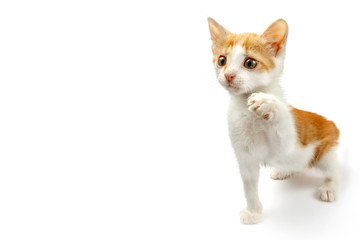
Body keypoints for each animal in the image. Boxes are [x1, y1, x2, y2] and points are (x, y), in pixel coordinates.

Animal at [208, 17, 340, 224]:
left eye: (250, 63)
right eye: (222, 60)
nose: (228, 75)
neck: (246, 111)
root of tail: (331, 123)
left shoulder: (288, 144)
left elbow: (284, 125)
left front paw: (268, 102)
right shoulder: (244, 155)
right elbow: (249, 186)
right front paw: (253, 212)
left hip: (326, 151)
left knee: (334, 170)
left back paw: (329, 186)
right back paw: (283, 170)